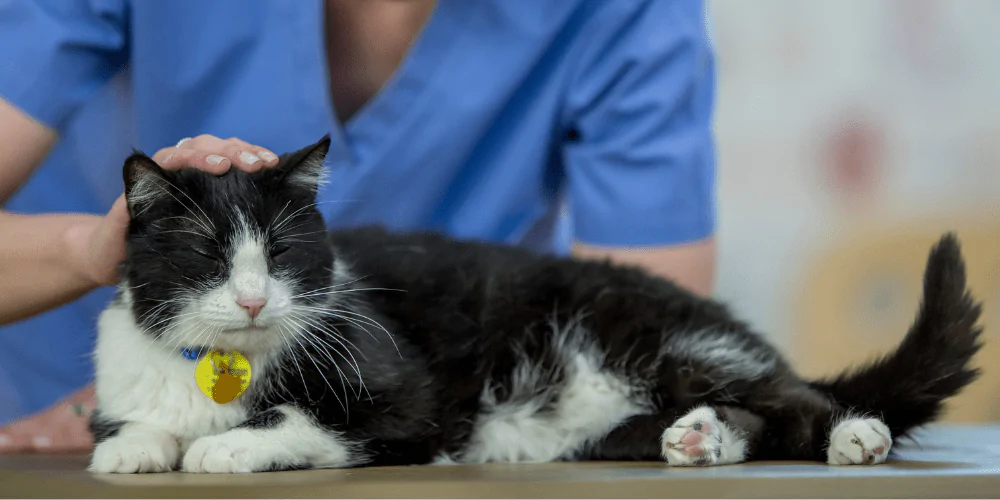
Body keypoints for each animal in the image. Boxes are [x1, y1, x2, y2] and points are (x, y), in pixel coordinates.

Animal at [88, 136, 984, 472]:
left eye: (278, 253)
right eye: (209, 255)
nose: (249, 299)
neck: (225, 365)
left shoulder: (405, 396)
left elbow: (309, 419)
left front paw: (227, 444)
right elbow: (138, 422)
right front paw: (133, 447)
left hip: (656, 338)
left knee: (792, 397)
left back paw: (854, 431)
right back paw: (701, 439)